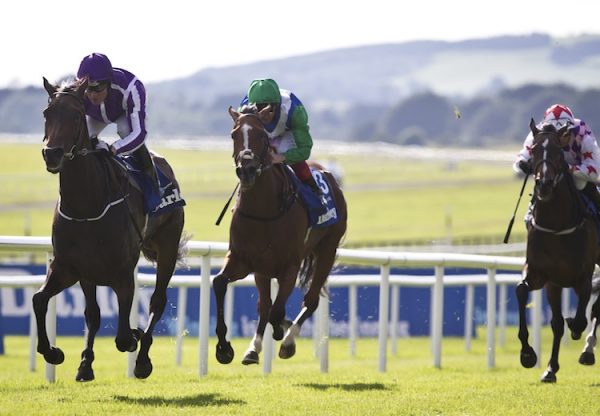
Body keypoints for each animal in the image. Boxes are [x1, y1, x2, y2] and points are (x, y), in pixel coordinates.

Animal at [34, 78, 185, 380]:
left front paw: (136, 339)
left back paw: (142, 359)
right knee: (93, 314)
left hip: (168, 248)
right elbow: (42, 301)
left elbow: (124, 336)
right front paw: (61, 355)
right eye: (47, 113)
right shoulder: (71, 268)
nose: (52, 154)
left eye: (76, 115)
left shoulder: (123, 273)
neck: (86, 207)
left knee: (157, 301)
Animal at [214, 106, 346, 364]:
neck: (263, 211)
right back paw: (253, 348)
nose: (247, 170)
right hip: (262, 270)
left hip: (327, 250)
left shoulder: (290, 266)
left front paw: (281, 332)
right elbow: (219, 283)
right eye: (234, 135)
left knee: (310, 300)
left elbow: (277, 310)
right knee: (264, 305)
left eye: (261, 135)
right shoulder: (243, 260)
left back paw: (287, 340)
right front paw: (224, 348)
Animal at [516, 118, 600, 382]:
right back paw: (551, 368)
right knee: (556, 323)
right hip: (554, 284)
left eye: (557, 152)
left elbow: (582, 314)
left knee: (594, 309)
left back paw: (587, 350)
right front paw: (528, 354)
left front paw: (578, 329)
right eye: (533, 150)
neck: (556, 225)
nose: (543, 184)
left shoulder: (583, 274)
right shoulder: (540, 274)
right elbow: (521, 292)